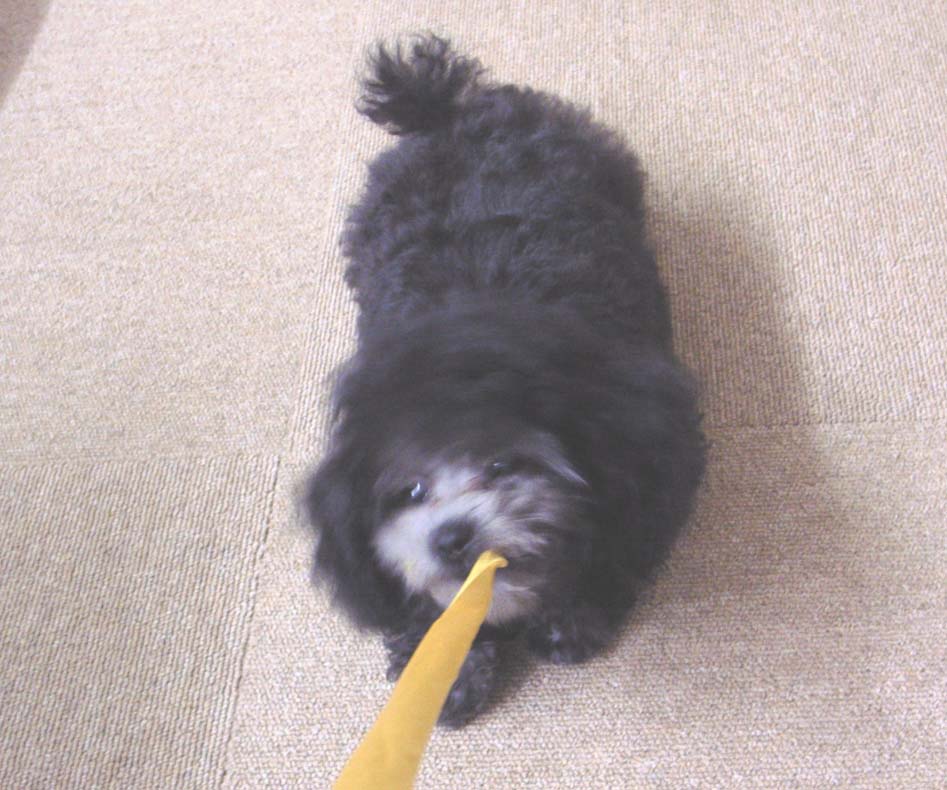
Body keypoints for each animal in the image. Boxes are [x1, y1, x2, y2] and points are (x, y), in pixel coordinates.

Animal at [302, 35, 705, 727]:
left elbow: (609, 550)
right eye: (408, 490)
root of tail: (450, 112)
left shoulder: (647, 454)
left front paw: (572, 621)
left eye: (503, 464)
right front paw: (447, 675)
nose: (450, 537)